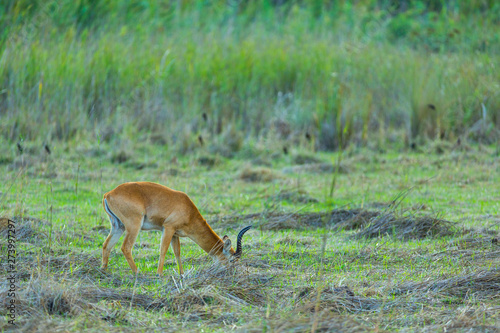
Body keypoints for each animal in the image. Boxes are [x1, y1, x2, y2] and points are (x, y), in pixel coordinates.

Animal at [101, 182, 252, 274]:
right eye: (232, 259)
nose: (233, 272)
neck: (188, 210)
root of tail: (108, 194)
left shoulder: (175, 234)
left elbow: (177, 253)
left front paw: (182, 274)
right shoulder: (168, 228)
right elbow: (163, 250)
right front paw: (159, 274)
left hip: (118, 226)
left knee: (106, 245)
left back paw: (104, 271)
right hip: (134, 225)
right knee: (125, 247)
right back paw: (138, 273)